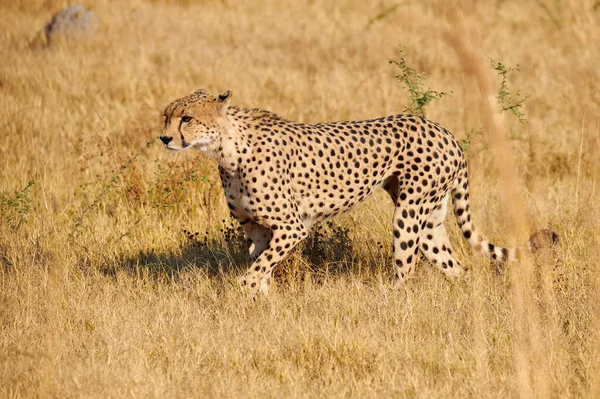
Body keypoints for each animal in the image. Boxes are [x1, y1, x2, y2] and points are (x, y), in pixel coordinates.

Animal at [161, 90, 556, 296]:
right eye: (166, 116)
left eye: (187, 118)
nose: (164, 138)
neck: (228, 147)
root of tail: (445, 131)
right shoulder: (258, 229)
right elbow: (263, 268)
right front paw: (261, 304)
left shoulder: (290, 227)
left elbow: (256, 270)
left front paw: (242, 293)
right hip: (430, 220)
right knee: (457, 267)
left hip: (408, 214)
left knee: (406, 271)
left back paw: (392, 308)